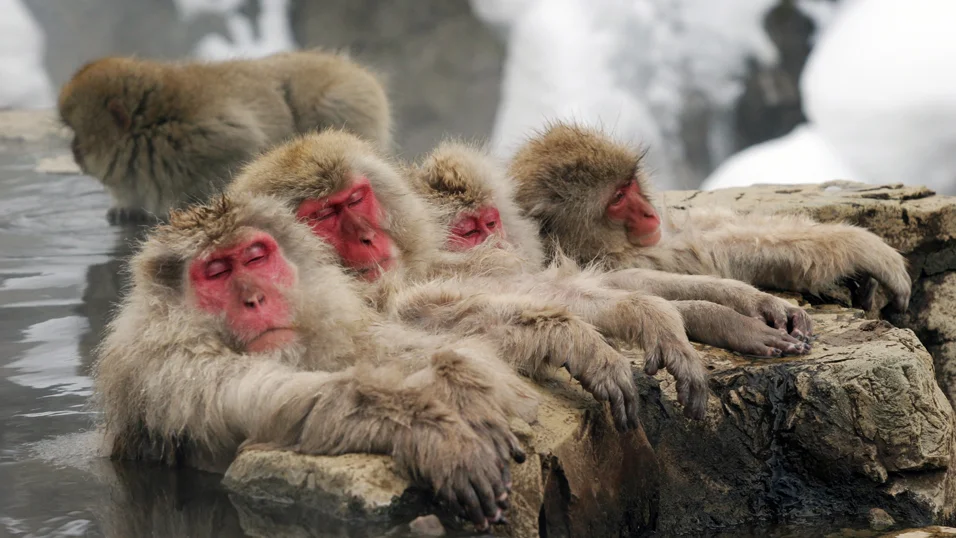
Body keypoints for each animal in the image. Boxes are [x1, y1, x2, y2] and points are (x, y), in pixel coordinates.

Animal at [57, 50, 392, 225]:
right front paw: (127, 207)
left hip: (346, 100)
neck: (153, 128)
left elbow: (243, 151)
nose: (73, 151)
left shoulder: (210, 137)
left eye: (76, 133)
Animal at [93, 193, 536, 530]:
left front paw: (463, 385)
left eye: (255, 258)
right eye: (216, 272)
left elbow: (392, 347)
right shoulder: (170, 368)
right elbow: (274, 402)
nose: (255, 298)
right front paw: (432, 429)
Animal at [508, 121, 913, 314]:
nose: (648, 212)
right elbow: (707, 255)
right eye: (618, 199)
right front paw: (857, 245)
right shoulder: (615, 259)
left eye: (629, 184)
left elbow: (702, 230)